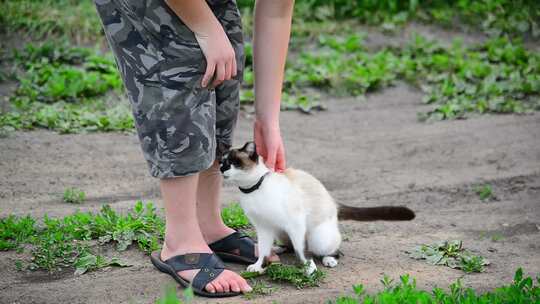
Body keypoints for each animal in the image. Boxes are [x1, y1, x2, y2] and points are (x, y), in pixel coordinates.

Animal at [219, 141, 414, 274]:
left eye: (234, 162)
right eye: (222, 162)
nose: (222, 169)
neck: (253, 190)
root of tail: (333, 202)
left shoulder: (295, 224)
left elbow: (302, 252)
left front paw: (309, 269)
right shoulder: (264, 227)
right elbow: (263, 251)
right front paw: (259, 267)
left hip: (316, 237)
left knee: (331, 249)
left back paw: (329, 260)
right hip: (280, 231)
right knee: (288, 245)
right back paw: (279, 249)